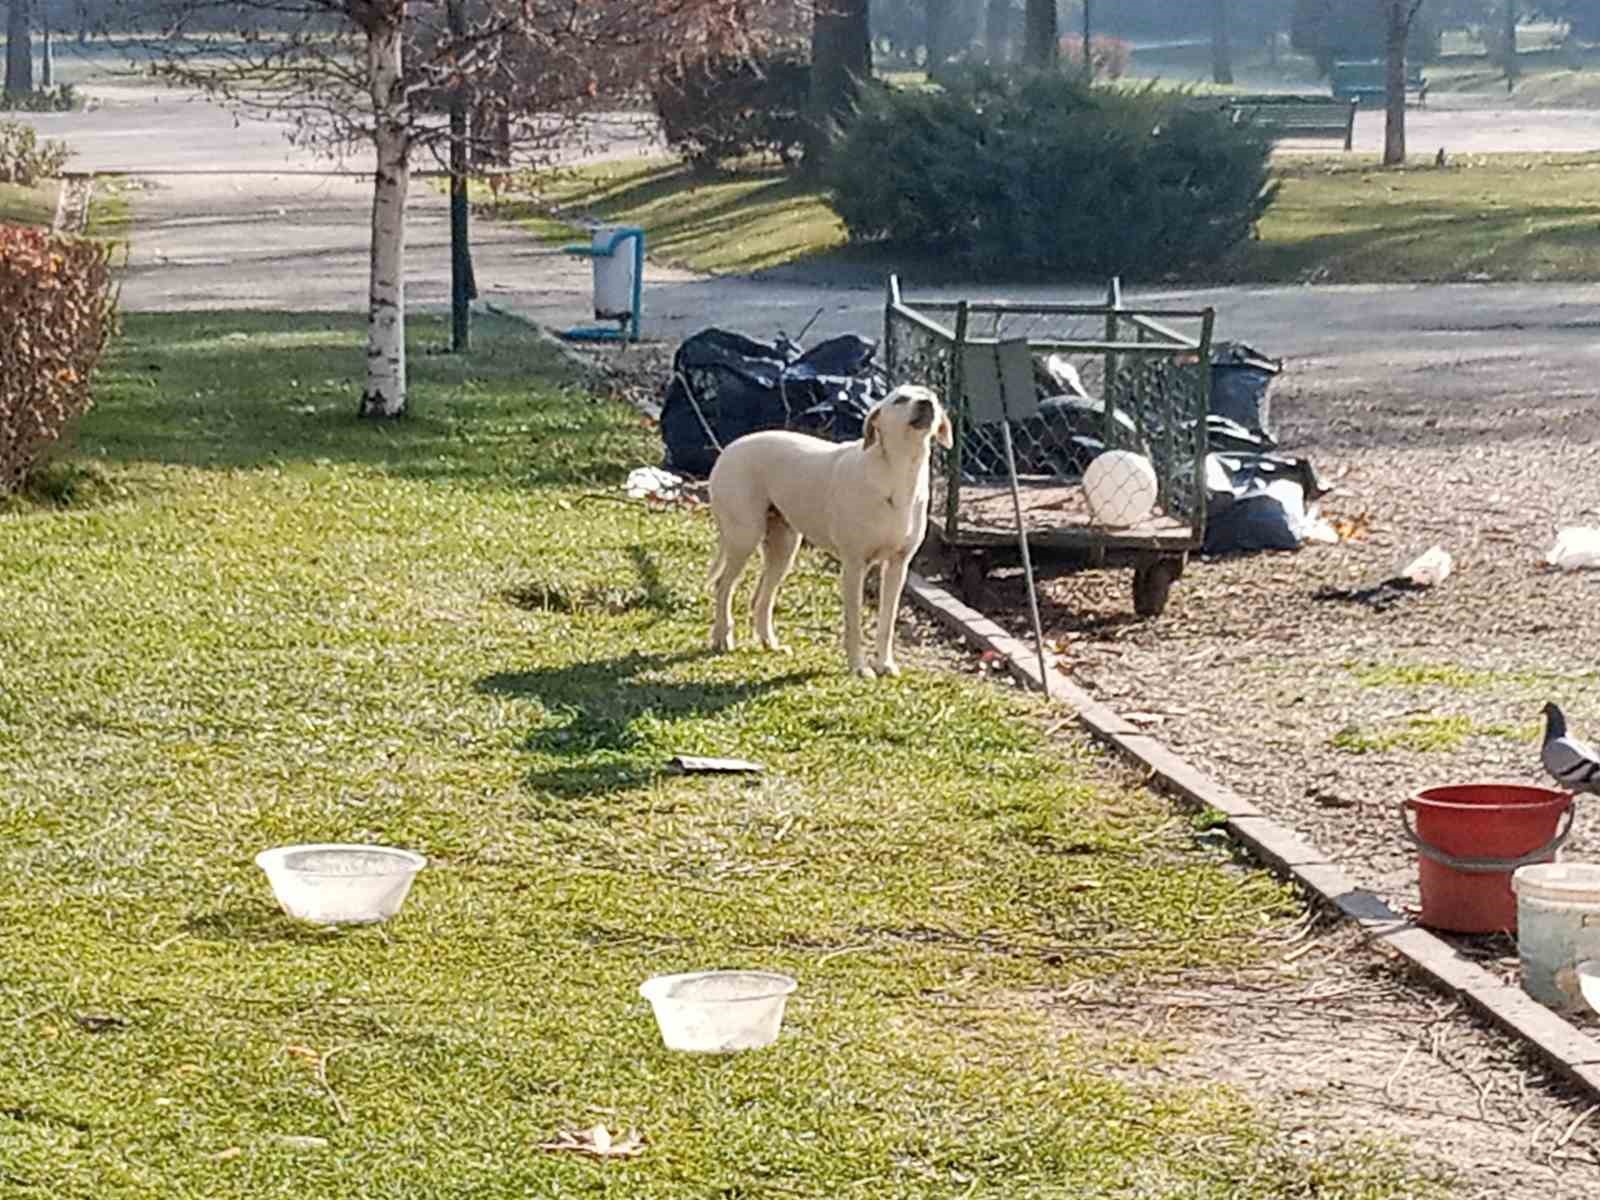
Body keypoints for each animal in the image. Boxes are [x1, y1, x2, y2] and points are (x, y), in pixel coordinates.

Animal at [704, 387, 947, 681]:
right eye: (900, 399)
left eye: (931, 396)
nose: (926, 404)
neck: (897, 473)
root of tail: (727, 449)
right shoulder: (854, 566)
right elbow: (854, 624)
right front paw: (859, 667)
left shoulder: (897, 567)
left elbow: (887, 624)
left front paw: (885, 665)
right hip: (744, 538)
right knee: (723, 586)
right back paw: (722, 638)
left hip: (784, 549)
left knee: (761, 598)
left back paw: (769, 643)